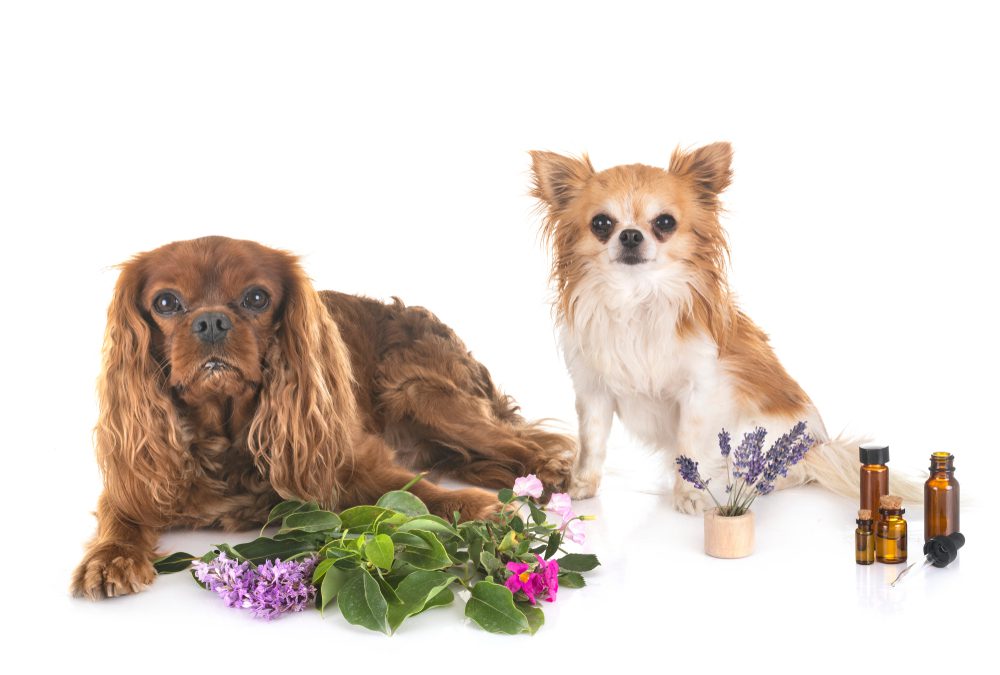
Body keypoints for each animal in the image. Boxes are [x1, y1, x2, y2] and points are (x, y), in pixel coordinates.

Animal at [70, 238, 576, 604]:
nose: (212, 321)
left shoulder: (348, 457)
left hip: (423, 396)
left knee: (524, 441)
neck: (225, 425)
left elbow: (416, 492)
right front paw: (109, 558)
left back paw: (547, 472)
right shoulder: (134, 478)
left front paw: (479, 510)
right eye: (166, 302)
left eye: (256, 297)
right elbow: (119, 517)